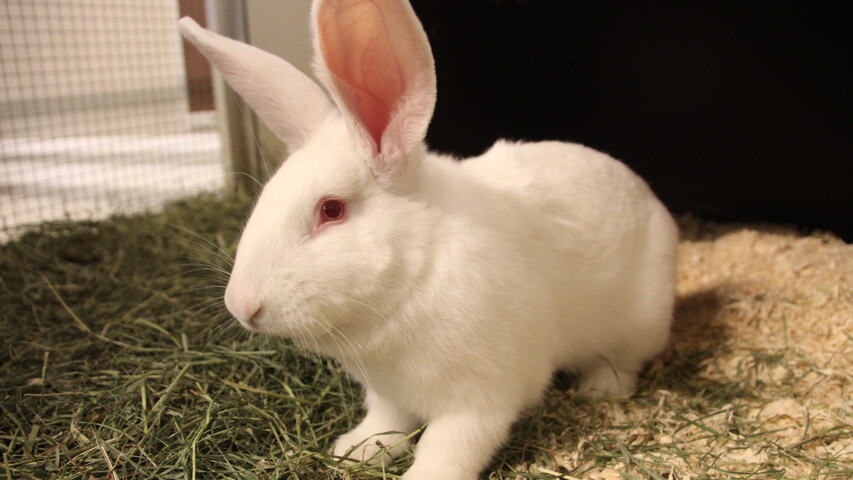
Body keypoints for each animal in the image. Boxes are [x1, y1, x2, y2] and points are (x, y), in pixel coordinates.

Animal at [179, 0, 678, 479]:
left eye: (331, 210)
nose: (241, 306)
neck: (413, 276)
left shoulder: (481, 398)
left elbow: (447, 448)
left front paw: (419, 474)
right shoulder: (387, 394)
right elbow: (386, 426)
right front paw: (354, 452)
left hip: (639, 324)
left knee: (624, 361)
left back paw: (600, 388)